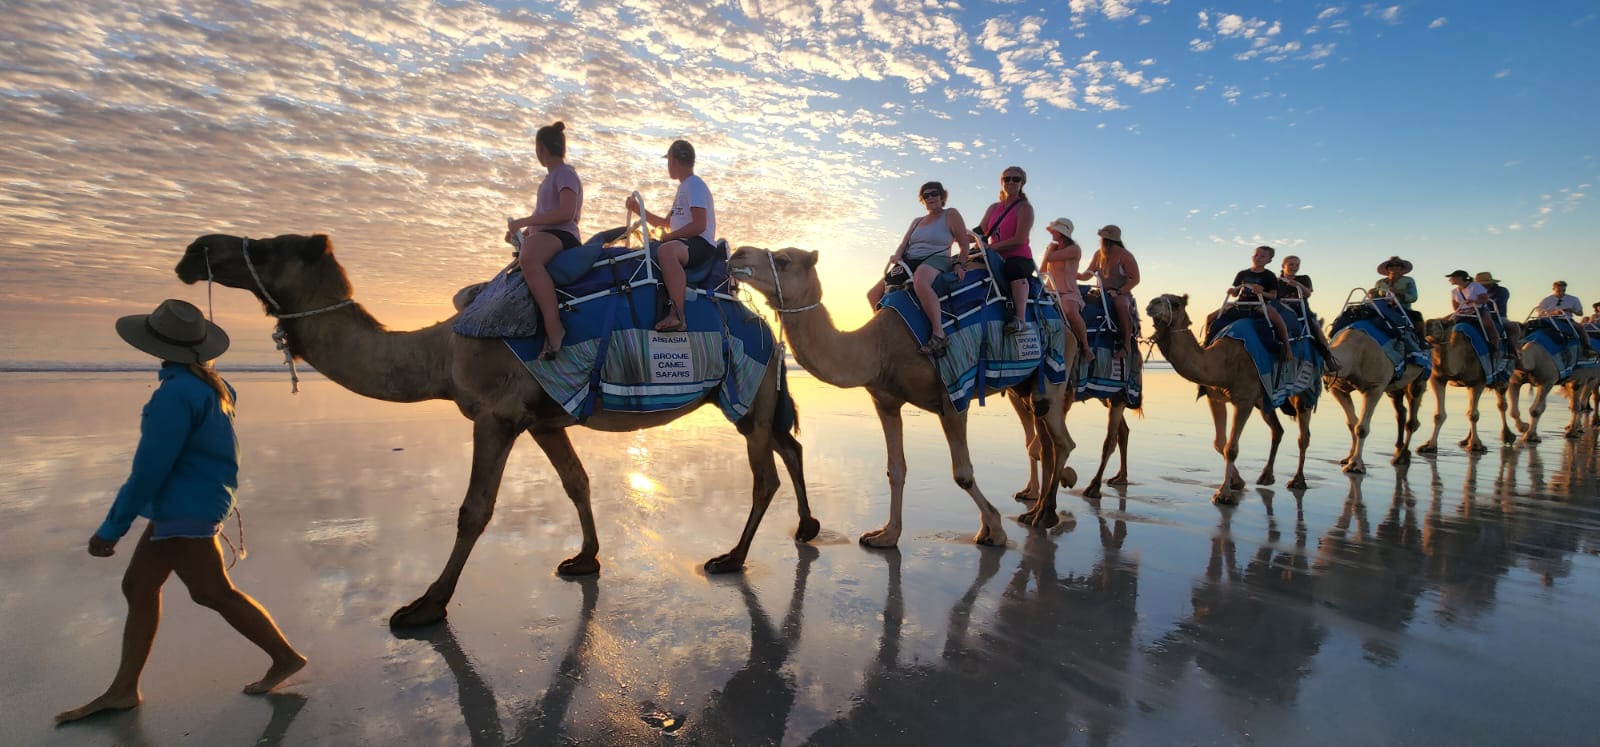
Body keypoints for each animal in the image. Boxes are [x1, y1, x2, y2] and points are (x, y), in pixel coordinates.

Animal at [176, 230, 819, 630]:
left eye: (268, 248)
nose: (194, 249)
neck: (441, 354)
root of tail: (768, 326)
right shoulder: (543, 418)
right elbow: (577, 482)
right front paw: (585, 558)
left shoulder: (497, 416)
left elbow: (473, 511)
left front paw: (426, 605)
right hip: (753, 393)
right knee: (788, 443)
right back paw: (806, 528)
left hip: (743, 388)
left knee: (764, 473)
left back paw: (731, 558)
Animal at [726, 247, 1075, 540]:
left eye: (783, 260)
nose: (737, 253)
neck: (878, 348)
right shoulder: (886, 402)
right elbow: (896, 469)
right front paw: (886, 535)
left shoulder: (953, 396)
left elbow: (962, 473)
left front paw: (994, 529)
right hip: (1026, 387)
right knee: (1045, 442)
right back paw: (1036, 510)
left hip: (1054, 371)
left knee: (1061, 440)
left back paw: (1045, 514)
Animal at [1152, 297, 1312, 502]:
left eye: (1175, 303)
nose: (1151, 304)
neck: (1223, 364)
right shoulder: (1215, 398)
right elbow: (1220, 442)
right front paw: (1237, 482)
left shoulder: (1244, 400)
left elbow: (1231, 448)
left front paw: (1224, 494)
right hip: (1264, 400)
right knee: (1277, 430)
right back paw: (1266, 476)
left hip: (1303, 387)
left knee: (1303, 434)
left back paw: (1298, 480)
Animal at [1318, 323, 1433, 473]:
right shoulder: (1337, 388)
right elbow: (1352, 423)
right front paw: (1348, 457)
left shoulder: (1375, 387)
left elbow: (1361, 428)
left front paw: (1355, 464)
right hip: (1395, 386)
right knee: (1401, 411)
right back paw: (1399, 450)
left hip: (1420, 376)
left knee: (1413, 417)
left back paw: (1401, 456)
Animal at [1427, 316, 1510, 454]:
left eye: (1445, 323)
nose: (1427, 325)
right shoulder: (1438, 378)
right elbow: (1438, 415)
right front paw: (1429, 445)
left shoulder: (1478, 381)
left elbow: (1473, 415)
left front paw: (1475, 445)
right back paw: (1466, 440)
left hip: (1503, 377)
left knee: (1501, 404)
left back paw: (1508, 436)